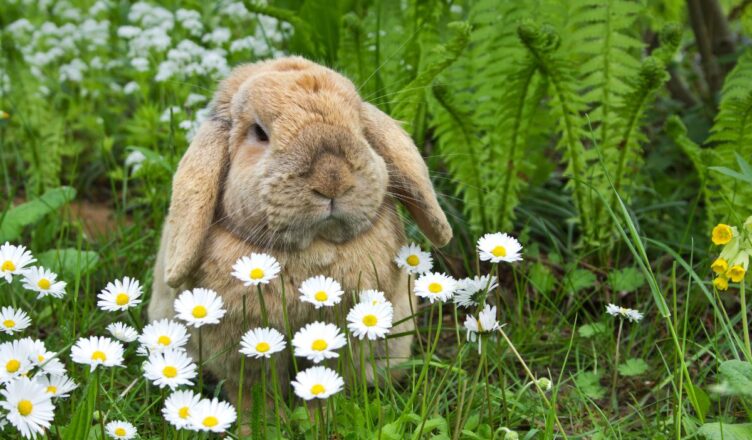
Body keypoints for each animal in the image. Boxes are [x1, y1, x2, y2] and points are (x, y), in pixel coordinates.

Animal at [148, 55, 452, 412]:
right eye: (259, 133)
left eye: (359, 126)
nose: (332, 179)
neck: (315, 249)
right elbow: (253, 392)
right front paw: (259, 421)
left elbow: (326, 382)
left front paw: (323, 415)